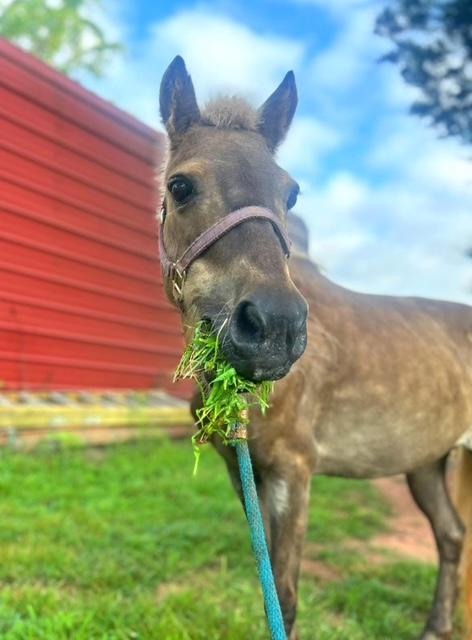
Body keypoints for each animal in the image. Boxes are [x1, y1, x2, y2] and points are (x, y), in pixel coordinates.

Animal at [158, 56, 472, 640]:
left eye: (291, 193)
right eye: (180, 185)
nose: (274, 327)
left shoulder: (294, 472)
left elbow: (284, 598)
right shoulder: (245, 473)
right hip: (426, 463)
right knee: (451, 534)